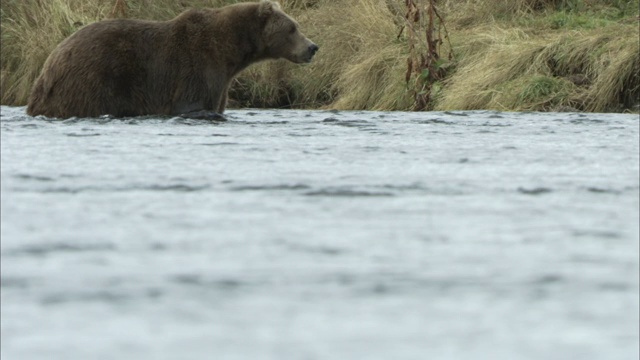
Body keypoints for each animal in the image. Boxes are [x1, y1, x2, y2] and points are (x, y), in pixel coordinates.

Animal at [26, 0, 318, 120]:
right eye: (293, 28)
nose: (313, 47)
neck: (231, 52)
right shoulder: (198, 67)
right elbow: (191, 102)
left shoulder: (221, 81)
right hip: (92, 80)